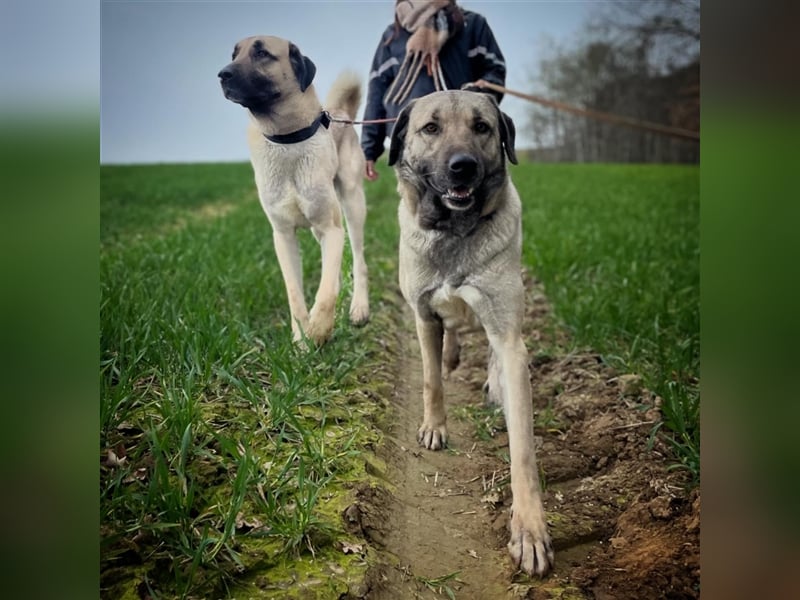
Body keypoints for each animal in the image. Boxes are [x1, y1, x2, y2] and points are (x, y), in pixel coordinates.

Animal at [219, 37, 368, 344]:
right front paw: (301, 340)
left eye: (262, 53)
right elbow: (294, 293)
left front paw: (318, 330)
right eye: (234, 54)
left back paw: (359, 307)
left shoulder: (331, 228)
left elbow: (325, 293)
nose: (222, 75)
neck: (287, 139)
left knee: (358, 260)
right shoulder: (283, 235)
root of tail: (342, 114)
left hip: (352, 204)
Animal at [390, 90, 552, 576]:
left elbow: (523, 450)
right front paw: (434, 427)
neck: (455, 232)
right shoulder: (424, 316)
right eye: (430, 128)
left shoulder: (508, 334)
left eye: (482, 127)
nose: (462, 166)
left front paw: (529, 531)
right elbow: (430, 380)